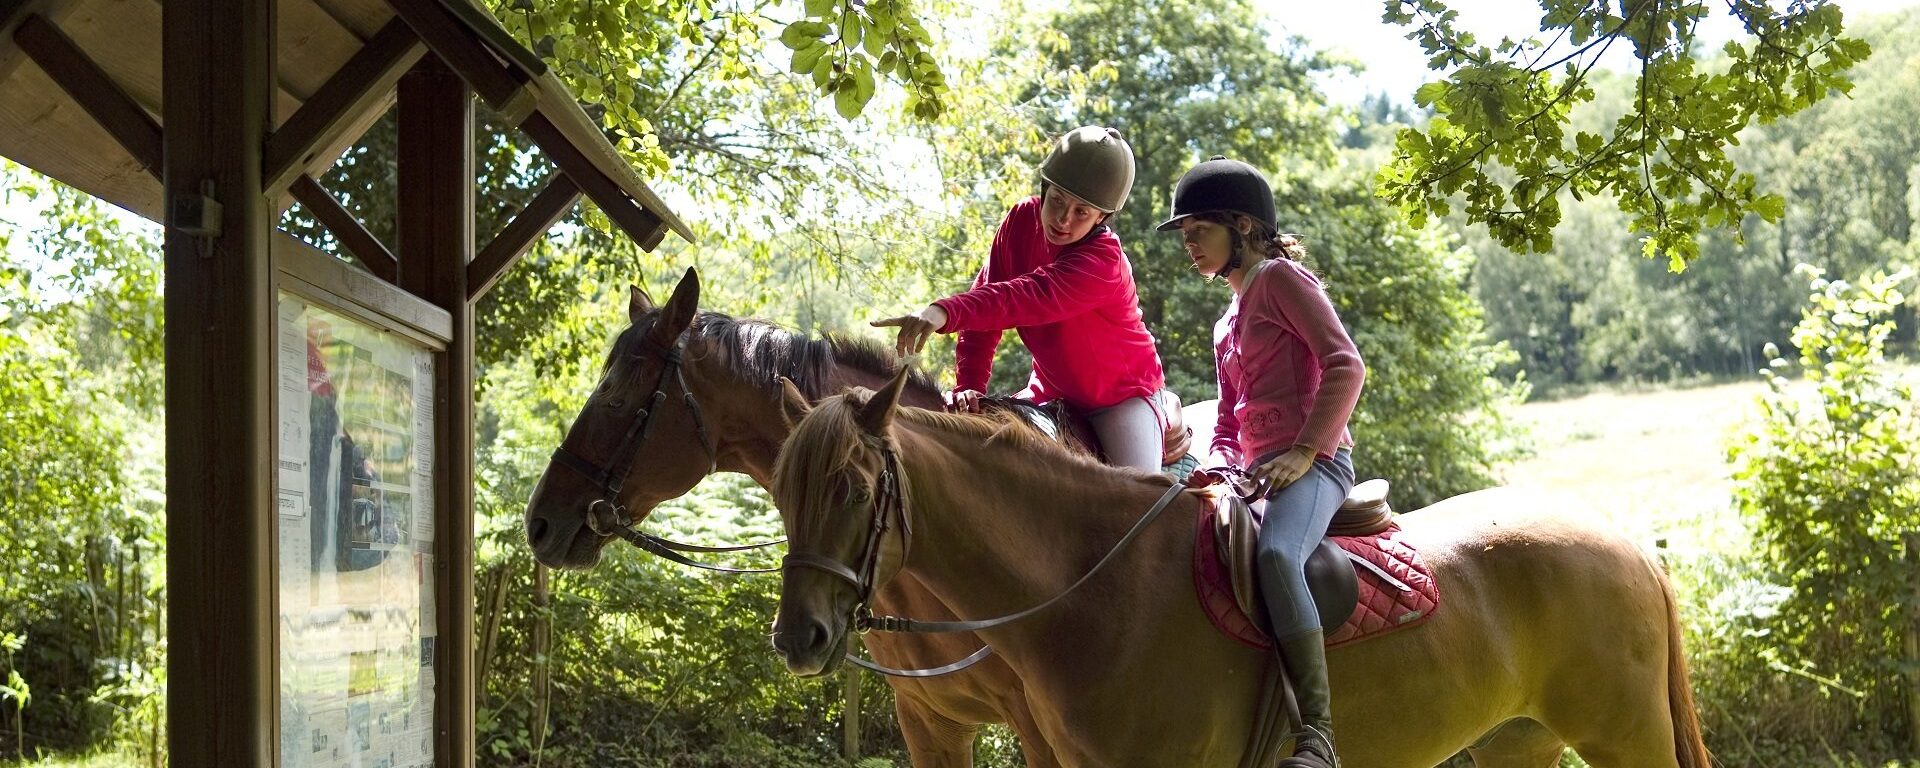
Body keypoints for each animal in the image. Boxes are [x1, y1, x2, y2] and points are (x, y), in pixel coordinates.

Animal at [764, 372, 1712, 768]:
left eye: (853, 488)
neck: (1098, 589)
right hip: (1519, 745)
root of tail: (1625, 542)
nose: (799, 636)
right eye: (780, 488)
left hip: (1625, 740)